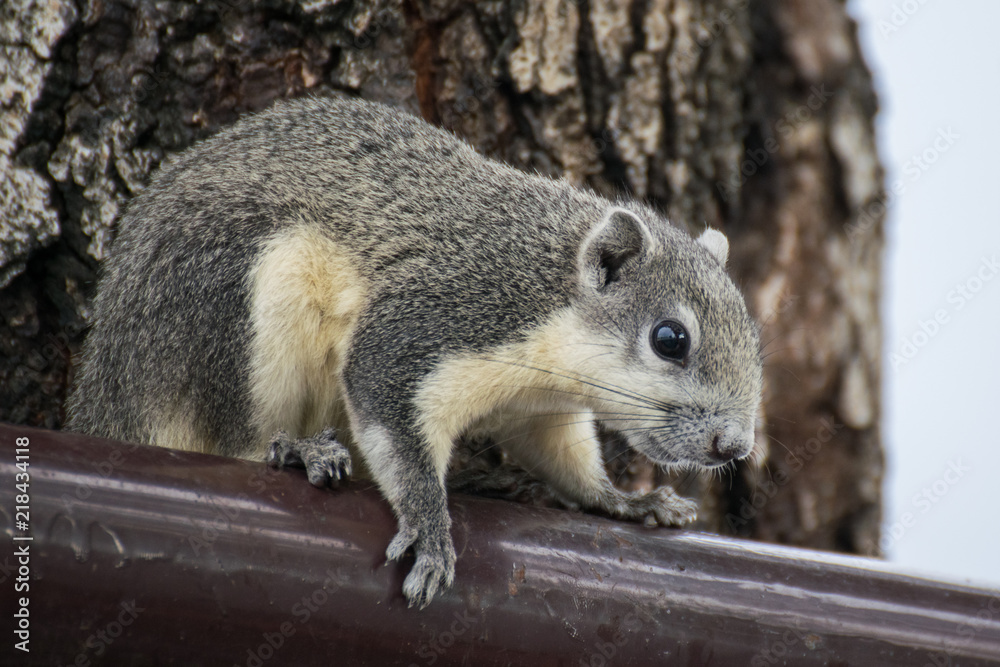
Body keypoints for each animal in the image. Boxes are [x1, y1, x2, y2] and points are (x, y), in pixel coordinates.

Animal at [66, 95, 763, 608]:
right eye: (669, 339)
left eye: (756, 340)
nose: (733, 446)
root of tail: (109, 379)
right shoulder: (432, 324)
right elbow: (393, 421)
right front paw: (431, 524)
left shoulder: (539, 409)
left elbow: (565, 461)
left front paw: (627, 501)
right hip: (236, 309)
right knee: (232, 438)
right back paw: (294, 449)